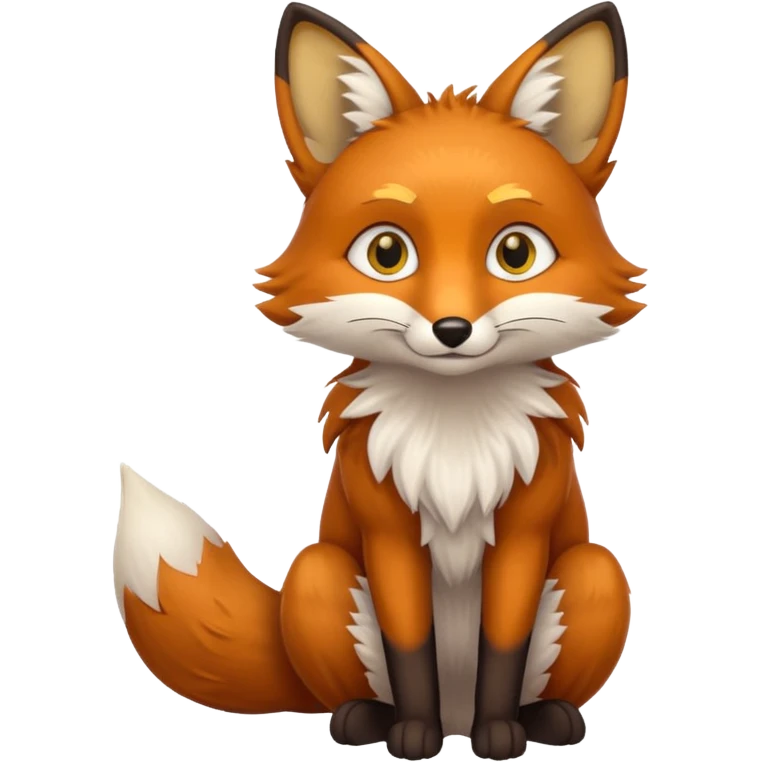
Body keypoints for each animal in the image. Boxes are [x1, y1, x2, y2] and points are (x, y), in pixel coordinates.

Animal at [113, 2, 642, 760]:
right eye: (387, 252)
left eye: (515, 252)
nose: (452, 329)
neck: (454, 435)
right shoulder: (386, 532)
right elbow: (409, 644)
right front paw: (413, 735)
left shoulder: (524, 534)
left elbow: (503, 647)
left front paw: (501, 734)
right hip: (319, 575)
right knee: (347, 678)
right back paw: (368, 719)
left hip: (595, 573)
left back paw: (544, 719)